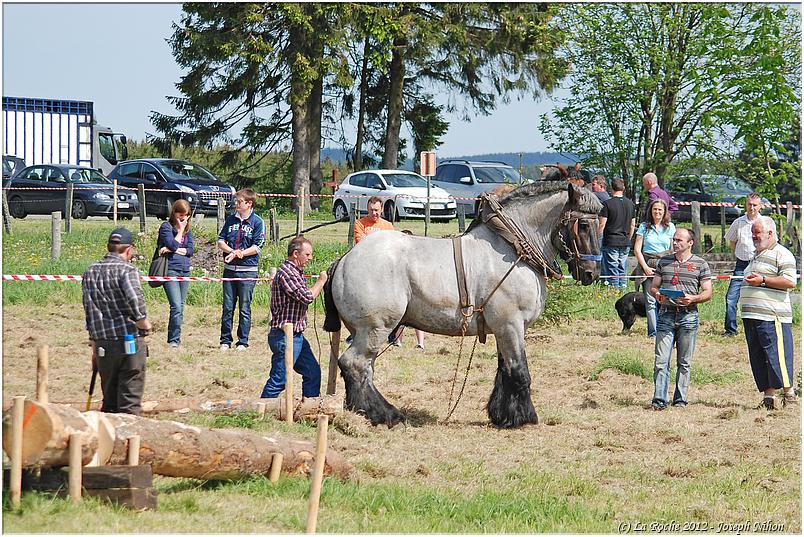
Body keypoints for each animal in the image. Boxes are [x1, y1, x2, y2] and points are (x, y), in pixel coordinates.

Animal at [324, 179, 600, 428]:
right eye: (584, 224)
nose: (591, 274)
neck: (512, 247)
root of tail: (344, 260)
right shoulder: (511, 324)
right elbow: (519, 370)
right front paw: (525, 417)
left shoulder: (502, 327)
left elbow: (504, 370)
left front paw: (503, 415)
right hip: (376, 328)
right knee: (355, 365)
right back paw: (386, 415)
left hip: (366, 331)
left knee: (364, 370)